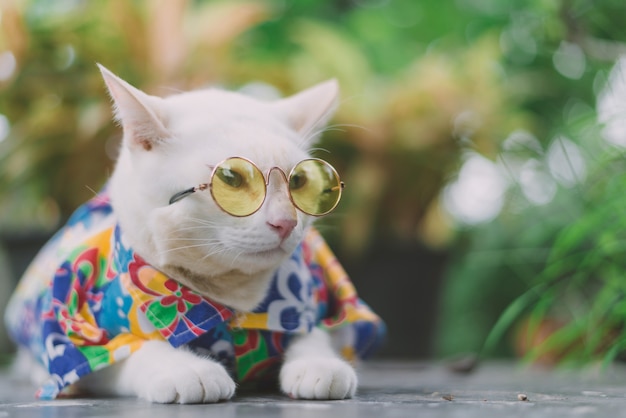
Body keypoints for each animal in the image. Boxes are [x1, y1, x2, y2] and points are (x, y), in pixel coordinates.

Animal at [4, 64, 382, 402]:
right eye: (231, 179)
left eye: (300, 181)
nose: (285, 222)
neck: (230, 297)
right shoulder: (76, 342)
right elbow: (132, 351)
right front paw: (187, 369)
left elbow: (315, 334)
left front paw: (319, 363)